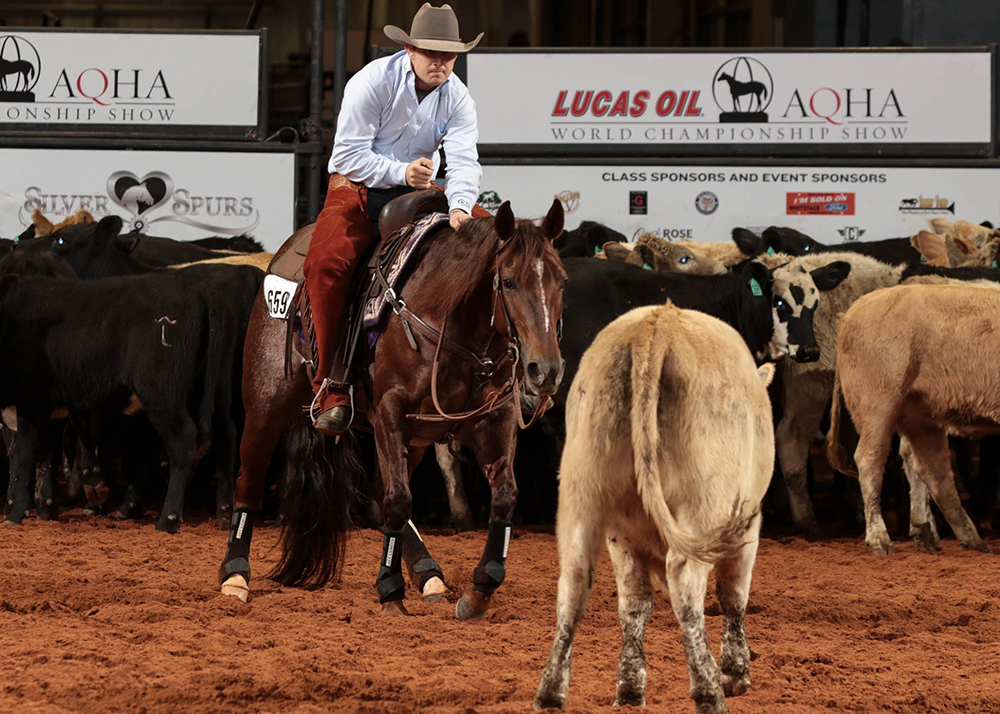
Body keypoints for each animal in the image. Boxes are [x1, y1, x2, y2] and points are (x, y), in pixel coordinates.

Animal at [218, 198, 567, 619]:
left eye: (562, 281)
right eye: (510, 281)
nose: (546, 370)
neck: (450, 318)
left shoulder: (494, 421)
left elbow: (505, 497)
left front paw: (480, 589)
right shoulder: (390, 411)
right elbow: (399, 501)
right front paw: (390, 589)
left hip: (414, 439)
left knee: (384, 485)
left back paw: (427, 572)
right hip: (267, 401)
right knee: (250, 479)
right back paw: (235, 574)